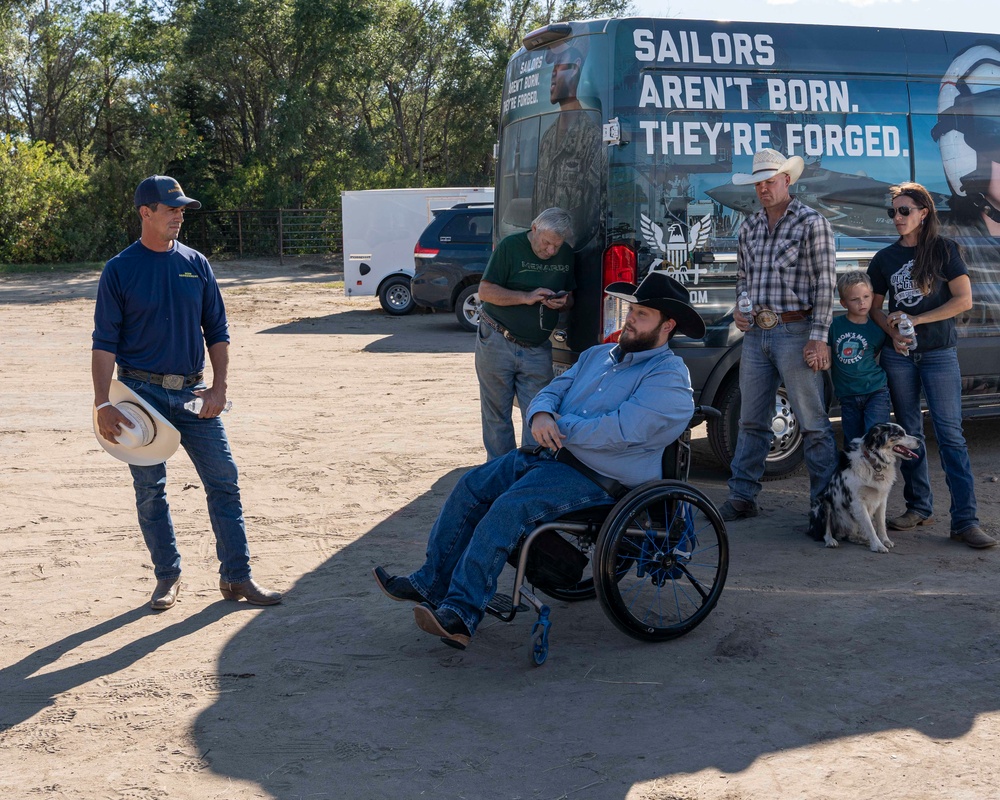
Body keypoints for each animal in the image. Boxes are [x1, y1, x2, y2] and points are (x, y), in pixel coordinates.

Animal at [808, 424, 916, 552]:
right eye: (899, 434)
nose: (920, 441)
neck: (873, 462)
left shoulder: (882, 499)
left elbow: (881, 523)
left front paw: (885, 541)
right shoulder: (858, 502)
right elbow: (870, 526)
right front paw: (878, 545)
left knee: (851, 536)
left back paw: (862, 539)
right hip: (823, 502)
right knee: (825, 531)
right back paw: (831, 541)